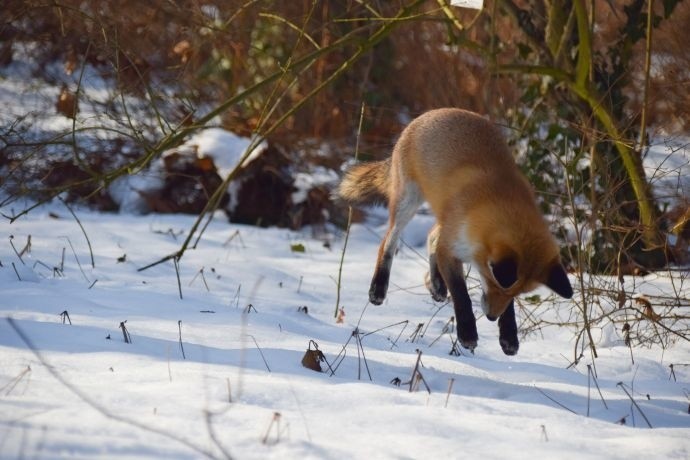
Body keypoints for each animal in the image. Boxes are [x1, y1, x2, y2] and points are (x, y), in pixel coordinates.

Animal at [338, 108, 568, 356]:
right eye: (492, 283)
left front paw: (508, 335)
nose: (490, 317)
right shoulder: (451, 249)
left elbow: (506, 307)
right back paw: (379, 287)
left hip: (441, 216)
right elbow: (461, 294)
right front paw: (467, 333)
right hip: (408, 202)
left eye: (517, 295)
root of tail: (431, 113)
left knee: (431, 236)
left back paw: (437, 284)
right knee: (389, 241)